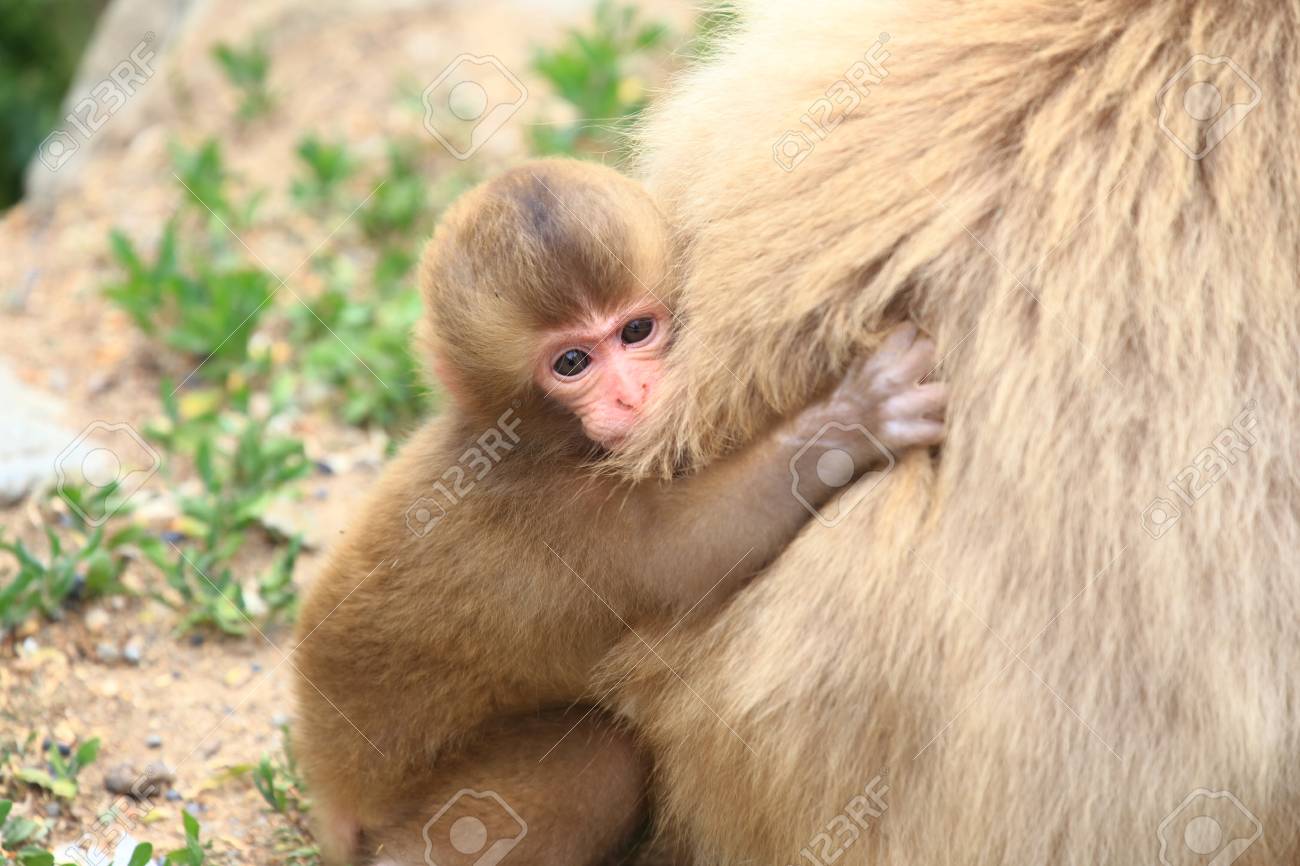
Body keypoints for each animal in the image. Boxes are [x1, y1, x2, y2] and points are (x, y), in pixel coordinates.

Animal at [292, 158, 948, 866]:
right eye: (572, 362)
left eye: (636, 331)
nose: (633, 395)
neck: (532, 441)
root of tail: (333, 794)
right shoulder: (556, 512)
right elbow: (686, 549)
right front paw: (850, 423)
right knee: (599, 762)